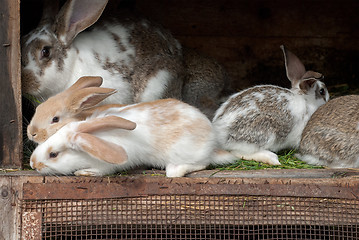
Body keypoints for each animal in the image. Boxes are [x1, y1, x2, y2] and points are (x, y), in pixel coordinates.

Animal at [29, 98, 238, 177]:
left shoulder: (107, 164)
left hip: (186, 155)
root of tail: (212, 144)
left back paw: (177, 169)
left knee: (201, 164)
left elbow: (101, 170)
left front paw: (84, 172)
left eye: (53, 155)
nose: (32, 164)